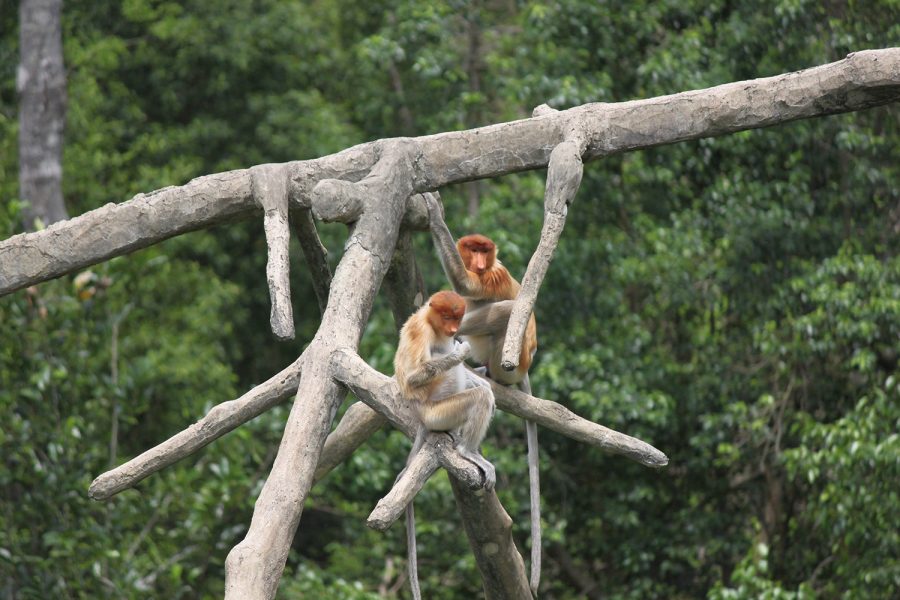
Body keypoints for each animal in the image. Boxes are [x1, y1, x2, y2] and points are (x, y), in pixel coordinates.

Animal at [392, 290, 496, 596]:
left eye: (456, 317)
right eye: (447, 316)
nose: (453, 330)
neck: (431, 321)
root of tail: (421, 416)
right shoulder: (420, 330)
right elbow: (415, 374)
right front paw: (461, 350)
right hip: (437, 409)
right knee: (470, 393)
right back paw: (467, 451)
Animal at [426, 193, 544, 596]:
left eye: (484, 251)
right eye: (472, 248)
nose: (478, 262)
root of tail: (523, 369)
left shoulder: (493, 277)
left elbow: (467, 286)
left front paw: (433, 212)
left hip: (508, 357)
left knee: (503, 311)